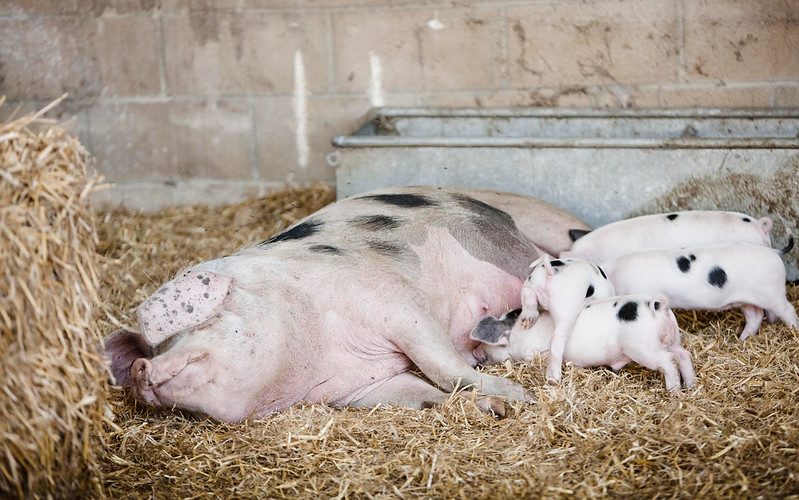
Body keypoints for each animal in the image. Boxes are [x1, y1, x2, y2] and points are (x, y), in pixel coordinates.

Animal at [104, 188, 588, 422]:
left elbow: (442, 366)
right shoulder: (360, 390)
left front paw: (519, 398)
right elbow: (423, 396)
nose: (140, 367)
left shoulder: (396, 304)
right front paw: (495, 410)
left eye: (201, 323)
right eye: (157, 346)